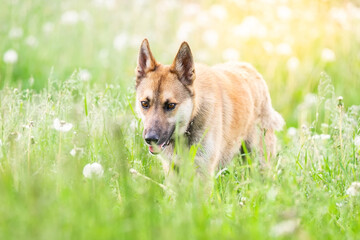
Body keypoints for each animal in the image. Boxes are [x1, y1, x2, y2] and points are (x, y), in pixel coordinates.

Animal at [134, 38, 284, 175]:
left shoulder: (203, 171)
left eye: (171, 105)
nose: (150, 139)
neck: (193, 116)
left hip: (258, 160)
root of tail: (250, 69)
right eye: (144, 104)